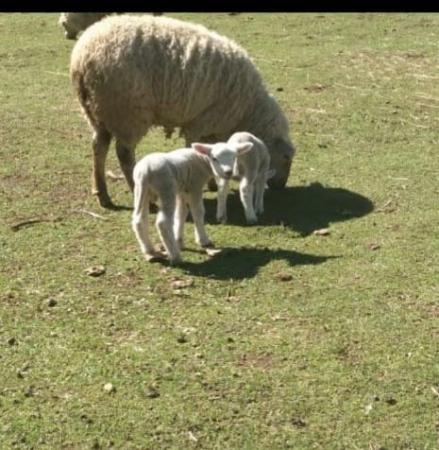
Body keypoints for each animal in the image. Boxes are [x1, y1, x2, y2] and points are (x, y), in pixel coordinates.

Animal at [70, 14, 296, 209]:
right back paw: (142, 197)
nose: (281, 186)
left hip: (98, 113)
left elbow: (212, 150)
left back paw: (102, 194)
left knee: (98, 147)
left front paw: (212, 182)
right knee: (124, 153)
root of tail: (82, 59)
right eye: (286, 157)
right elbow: (198, 151)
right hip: (126, 112)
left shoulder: (211, 126)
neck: (248, 110)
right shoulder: (202, 122)